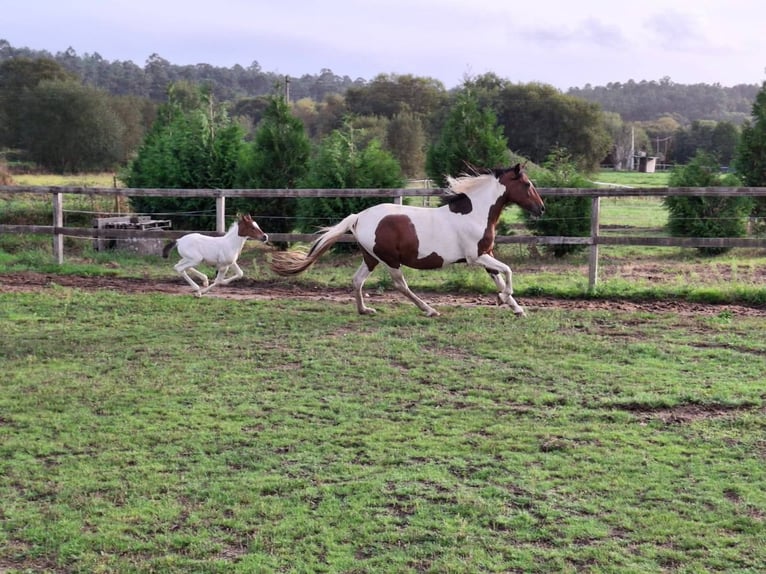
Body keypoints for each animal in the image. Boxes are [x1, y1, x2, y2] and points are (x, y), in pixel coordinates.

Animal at [270, 163, 544, 317]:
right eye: (527, 184)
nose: (541, 209)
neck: (475, 213)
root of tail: (359, 217)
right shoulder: (475, 256)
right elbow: (507, 272)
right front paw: (503, 299)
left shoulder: (487, 254)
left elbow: (500, 276)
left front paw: (516, 308)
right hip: (390, 260)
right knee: (401, 285)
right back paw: (429, 310)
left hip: (370, 258)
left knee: (357, 280)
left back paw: (364, 310)